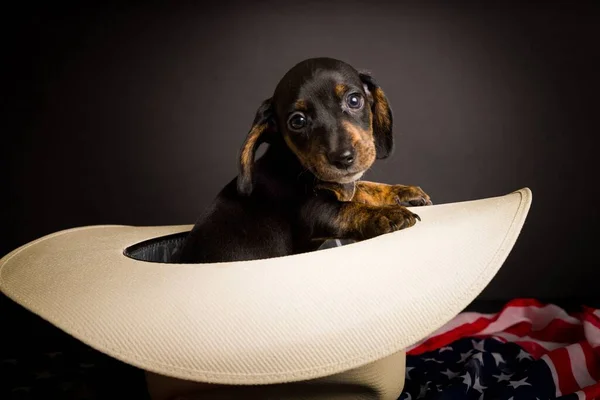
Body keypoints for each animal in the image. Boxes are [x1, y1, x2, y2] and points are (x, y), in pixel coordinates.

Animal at [176, 56, 434, 262]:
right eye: (298, 121)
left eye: (354, 100)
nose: (343, 158)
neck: (294, 163)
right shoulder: (316, 212)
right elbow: (350, 208)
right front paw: (386, 213)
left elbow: (362, 187)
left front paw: (403, 192)